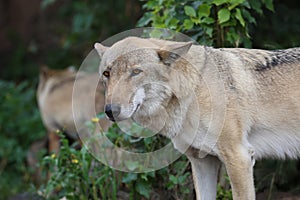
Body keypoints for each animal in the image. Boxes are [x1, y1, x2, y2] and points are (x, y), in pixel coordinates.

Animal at [95, 36, 300, 199]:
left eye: (136, 72)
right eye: (107, 73)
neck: (194, 90)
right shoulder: (202, 161)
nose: (110, 111)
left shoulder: (239, 157)